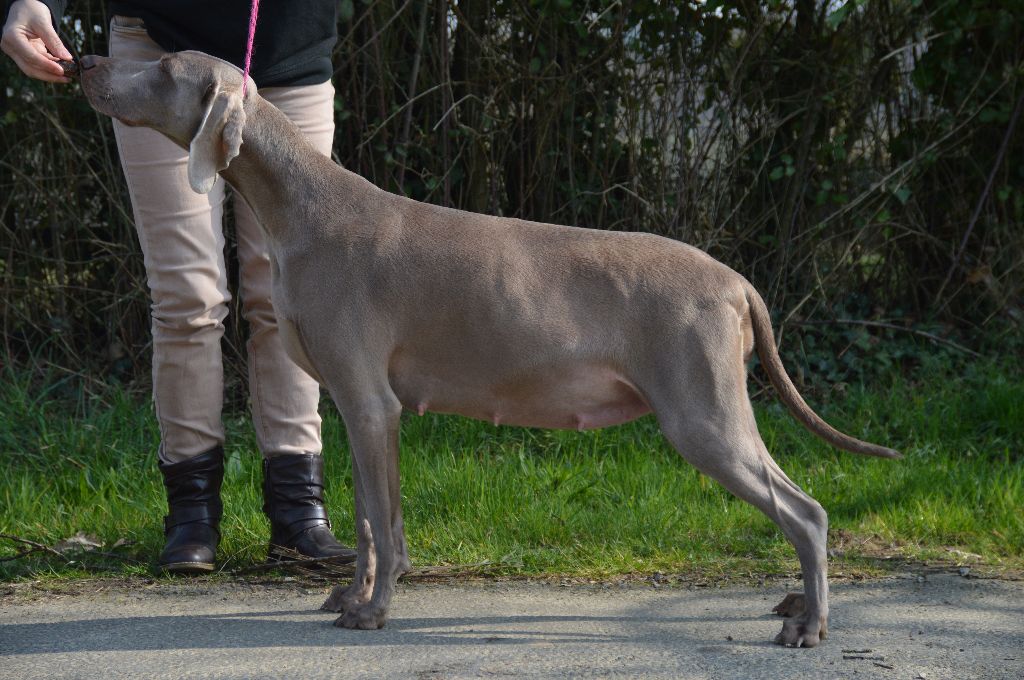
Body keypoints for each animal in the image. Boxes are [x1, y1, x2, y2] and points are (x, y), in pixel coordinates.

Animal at [77, 50, 897, 647]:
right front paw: (348, 594)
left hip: (703, 415)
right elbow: (366, 519)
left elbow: (386, 523)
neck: (299, 208)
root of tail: (735, 280)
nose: (84, 59)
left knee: (806, 511)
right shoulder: (353, 404)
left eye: (163, 68)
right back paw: (795, 603)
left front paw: (374, 612)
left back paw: (810, 624)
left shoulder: (371, 404)